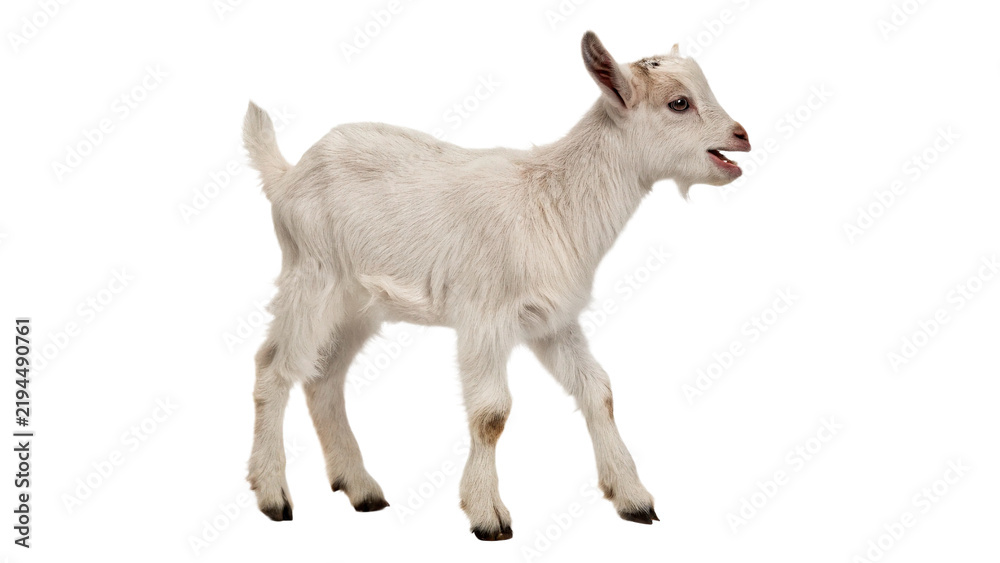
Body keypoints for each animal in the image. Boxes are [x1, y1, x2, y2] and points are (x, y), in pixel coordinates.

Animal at [243, 30, 750, 541]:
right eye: (679, 103)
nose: (741, 136)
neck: (552, 198)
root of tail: (287, 176)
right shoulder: (484, 316)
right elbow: (492, 413)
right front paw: (488, 515)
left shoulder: (552, 321)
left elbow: (599, 391)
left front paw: (633, 498)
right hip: (312, 277)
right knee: (274, 367)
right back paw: (273, 495)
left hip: (358, 305)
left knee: (323, 378)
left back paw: (361, 489)